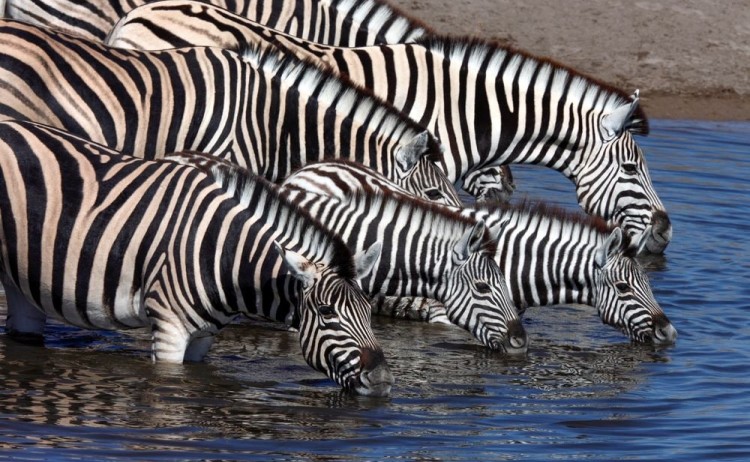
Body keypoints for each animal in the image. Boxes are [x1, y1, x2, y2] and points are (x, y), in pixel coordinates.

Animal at [0, 119, 393, 396]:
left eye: (369, 311)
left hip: (20, 281)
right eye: (326, 312)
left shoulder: (203, 337)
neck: (226, 255)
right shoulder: (169, 329)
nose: (383, 380)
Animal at [282, 160, 677, 345]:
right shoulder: (445, 310)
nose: (671, 335)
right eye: (624, 288)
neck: (511, 262)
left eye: (648, 283)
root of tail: (309, 169)